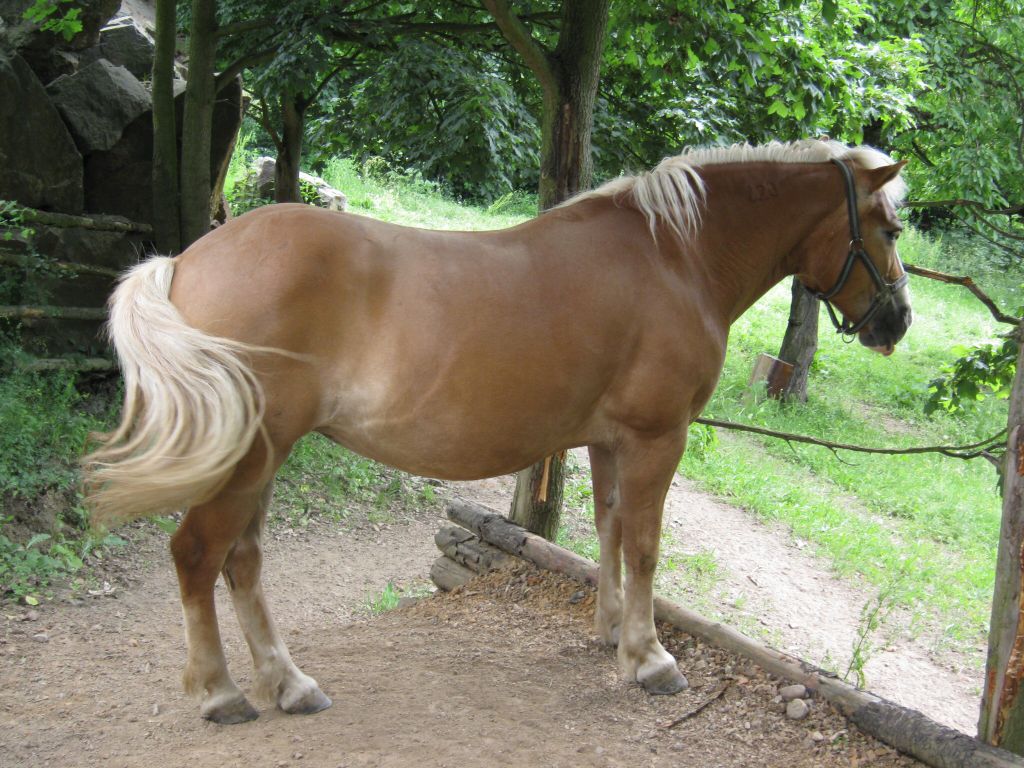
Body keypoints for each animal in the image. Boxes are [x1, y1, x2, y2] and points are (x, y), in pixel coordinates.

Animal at [82, 139, 912, 724]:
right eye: (889, 227)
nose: (897, 320)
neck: (674, 256)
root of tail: (184, 262)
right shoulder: (656, 437)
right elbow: (645, 546)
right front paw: (649, 658)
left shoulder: (609, 441)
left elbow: (610, 532)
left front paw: (611, 632)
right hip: (253, 455)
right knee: (199, 554)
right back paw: (222, 693)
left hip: (264, 456)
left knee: (242, 560)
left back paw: (289, 683)